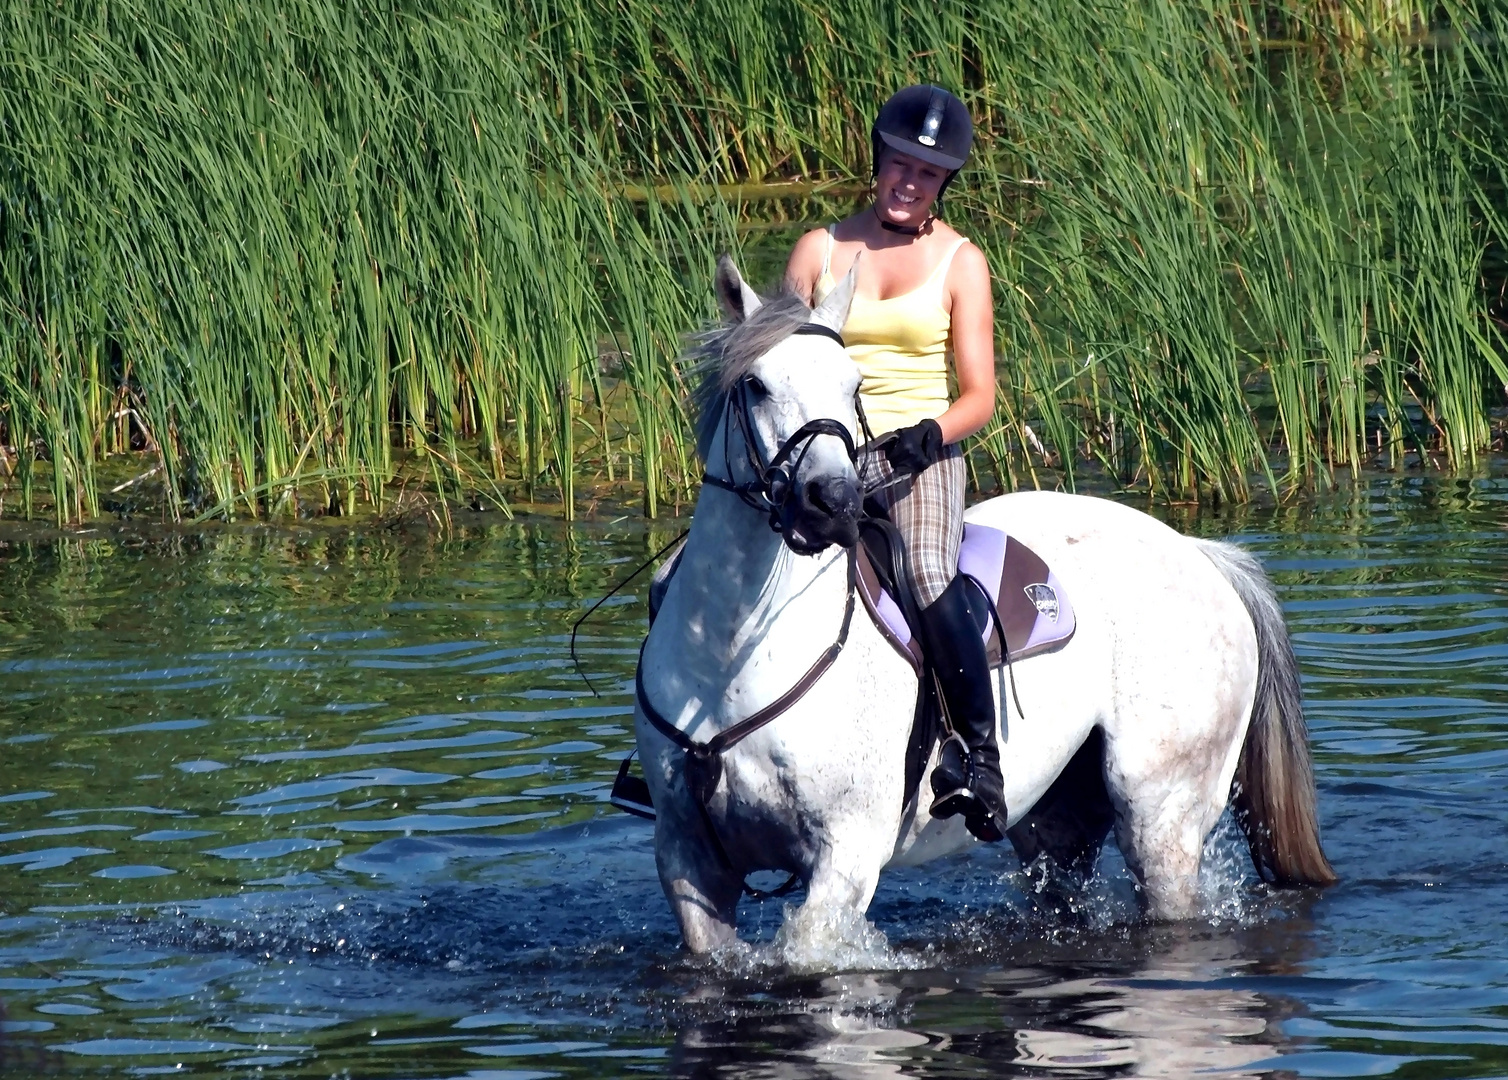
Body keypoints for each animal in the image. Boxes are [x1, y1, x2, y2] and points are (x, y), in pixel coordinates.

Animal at [636, 259, 1333, 953]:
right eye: (754, 385)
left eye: (852, 383)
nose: (832, 502)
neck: (733, 652)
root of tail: (1199, 553)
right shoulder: (687, 857)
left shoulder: (846, 854)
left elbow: (806, 950)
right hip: (1056, 821)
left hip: (1163, 813)